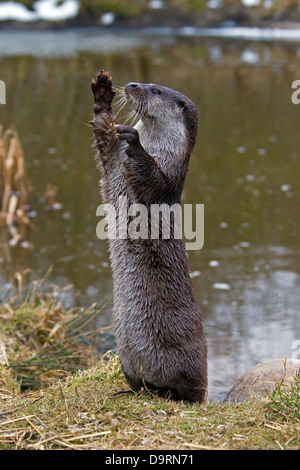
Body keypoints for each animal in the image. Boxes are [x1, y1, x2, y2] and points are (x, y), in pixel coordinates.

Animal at [91, 71, 207, 402]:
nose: (132, 85)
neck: (159, 147)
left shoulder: (165, 182)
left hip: (190, 359)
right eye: (143, 82)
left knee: (194, 389)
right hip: (126, 356)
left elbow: (153, 180)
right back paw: (133, 390)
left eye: (154, 90)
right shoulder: (112, 161)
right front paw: (102, 95)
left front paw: (136, 143)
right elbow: (105, 139)